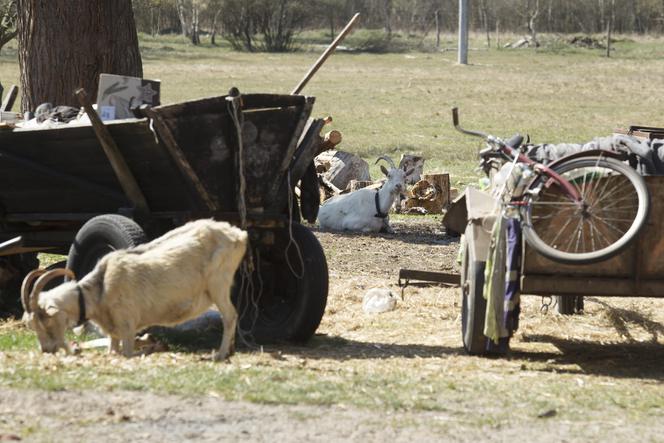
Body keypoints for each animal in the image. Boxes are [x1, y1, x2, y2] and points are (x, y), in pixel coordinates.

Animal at [22, 219, 249, 360]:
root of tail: (238, 235)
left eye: (46, 321)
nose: (46, 350)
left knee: (230, 315)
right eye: (32, 325)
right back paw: (229, 351)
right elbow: (112, 351)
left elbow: (127, 353)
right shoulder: (114, 332)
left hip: (218, 283)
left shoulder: (128, 326)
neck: (99, 291)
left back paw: (220, 354)